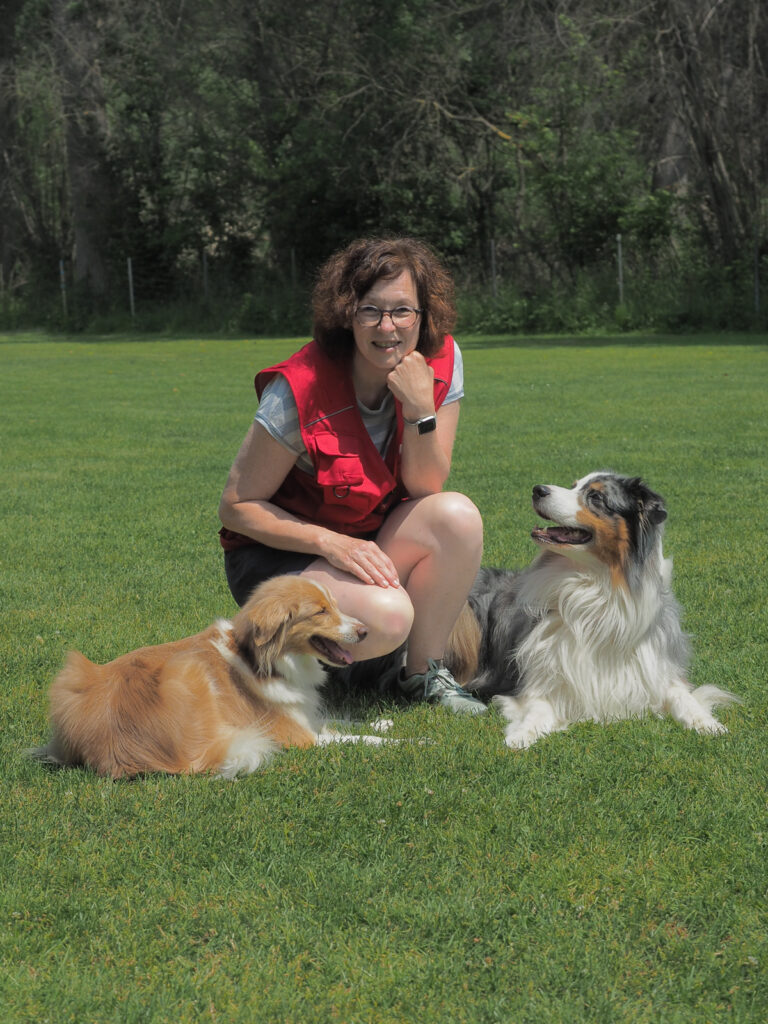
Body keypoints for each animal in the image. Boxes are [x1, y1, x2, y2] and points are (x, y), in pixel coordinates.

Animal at [31, 575, 388, 779]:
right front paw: (401, 742)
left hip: (72, 679)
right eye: (320, 612)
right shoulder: (299, 736)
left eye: (335, 605)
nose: (365, 631)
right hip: (185, 671)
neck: (265, 660)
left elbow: (343, 721)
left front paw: (381, 722)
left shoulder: (304, 718)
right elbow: (360, 739)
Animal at [446, 471, 738, 748]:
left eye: (596, 497)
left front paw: (707, 723)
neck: (593, 586)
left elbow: (683, 697)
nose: (537, 489)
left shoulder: (655, 669)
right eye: (573, 485)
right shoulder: (540, 679)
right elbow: (537, 709)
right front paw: (520, 735)